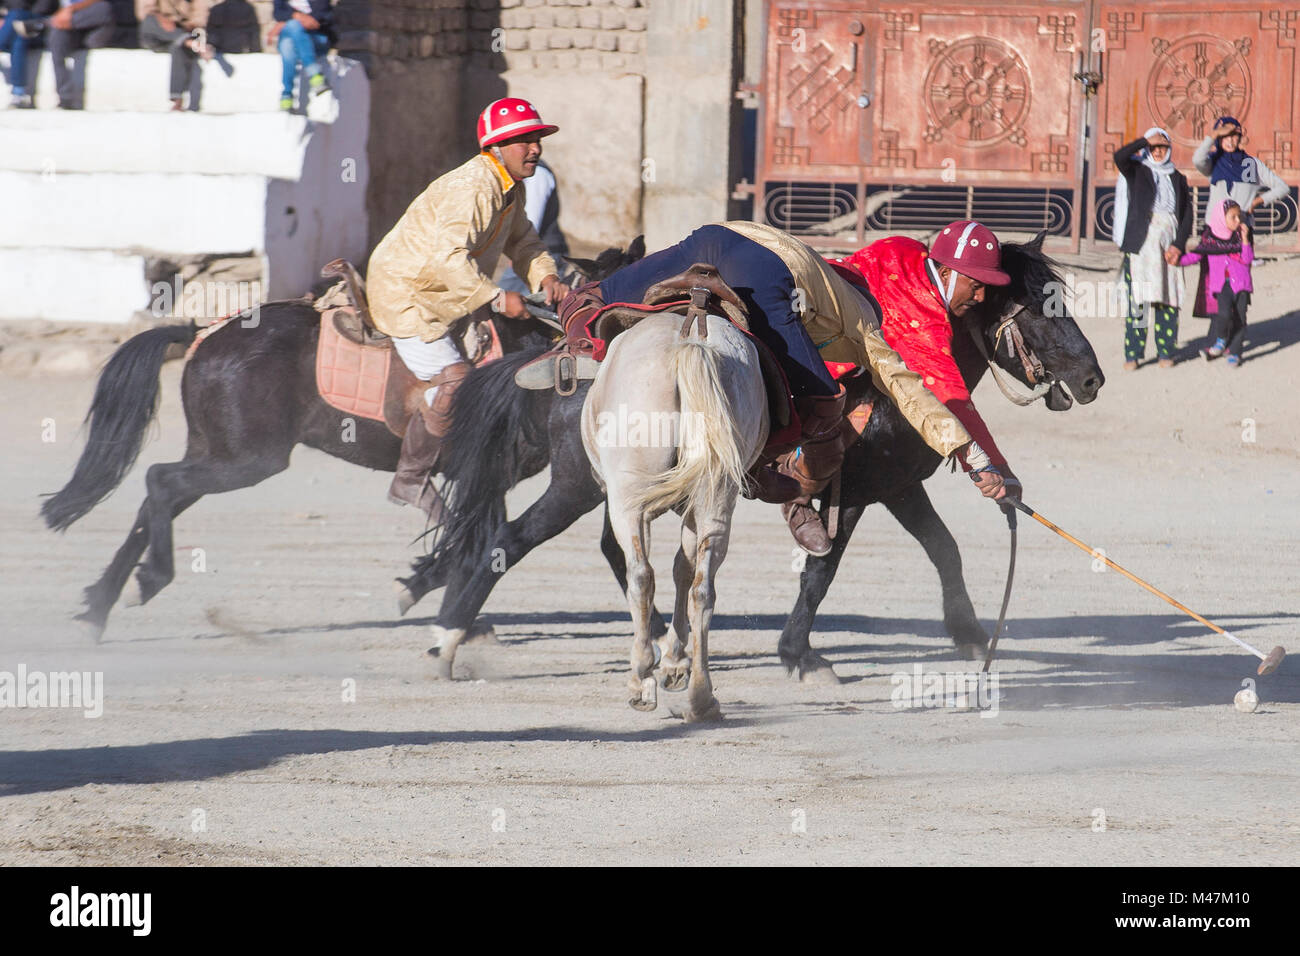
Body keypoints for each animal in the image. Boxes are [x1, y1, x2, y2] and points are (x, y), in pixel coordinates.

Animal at [41, 243, 644, 639]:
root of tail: (202, 333)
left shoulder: (486, 478)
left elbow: (473, 537)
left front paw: (428, 588)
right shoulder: (485, 472)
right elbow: (473, 537)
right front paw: (430, 594)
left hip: (220, 452)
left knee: (157, 496)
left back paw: (102, 603)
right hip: (247, 458)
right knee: (160, 483)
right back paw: (146, 580)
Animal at [400, 232, 1102, 681]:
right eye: (1043, 308)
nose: (1093, 378)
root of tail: (563, 358)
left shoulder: (897, 485)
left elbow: (943, 550)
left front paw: (971, 635)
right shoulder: (856, 491)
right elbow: (822, 569)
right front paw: (801, 656)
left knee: (613, 551)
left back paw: (665, 637)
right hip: (576, 485)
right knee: (509, 540)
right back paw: (448, 638)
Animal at [582, 314, 769, 723]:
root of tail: (689, 343)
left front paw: (663, 662)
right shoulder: (693, 510)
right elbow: (683, 570)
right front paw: (676, 660)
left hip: (628, 501)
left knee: (640, 576)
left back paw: (641, 679)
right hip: (715, 498)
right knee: (703, 588)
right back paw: (702, 697)